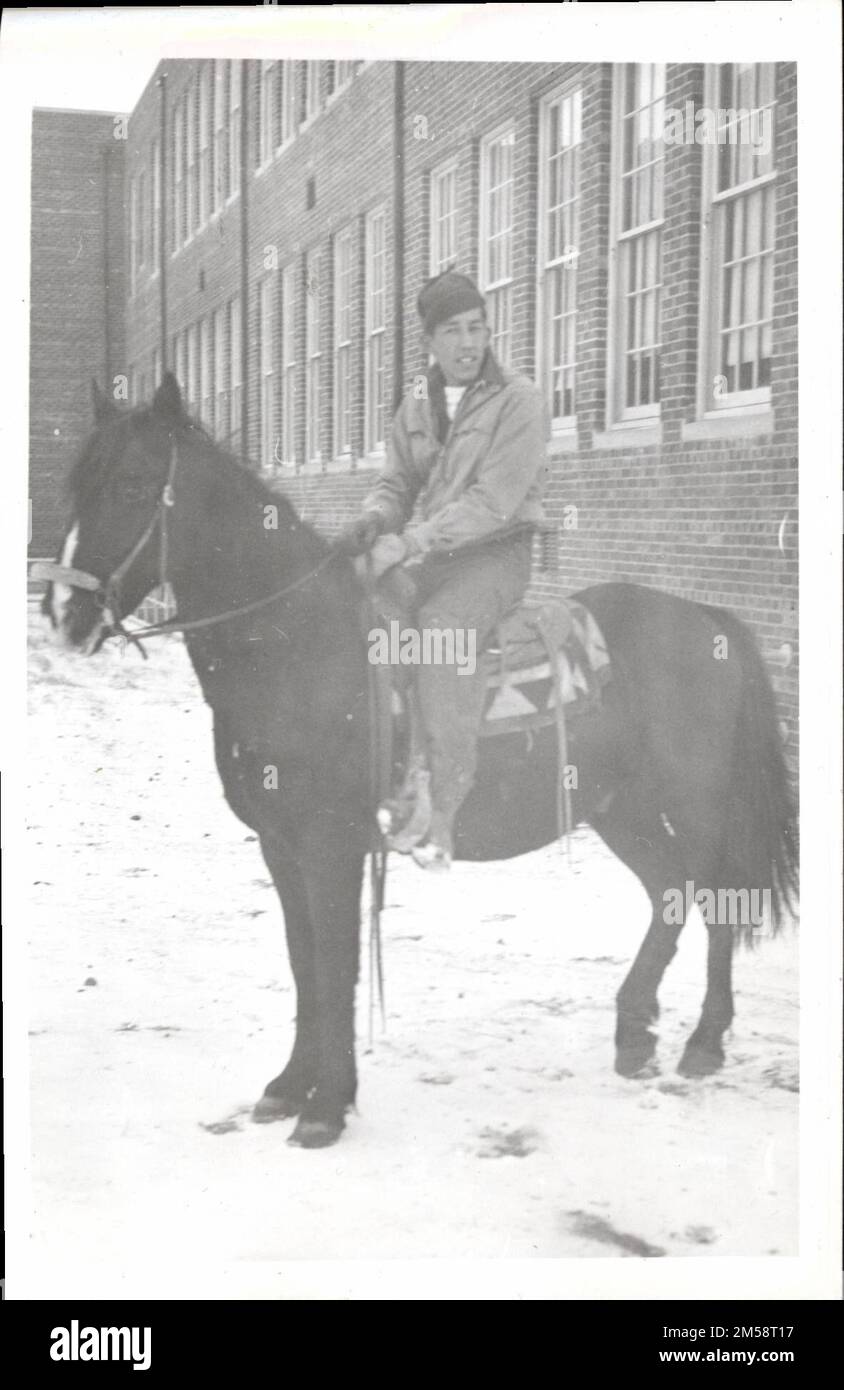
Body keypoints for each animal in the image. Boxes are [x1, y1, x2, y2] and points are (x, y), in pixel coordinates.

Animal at [41, 375, 800, 1145]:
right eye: (77, 484)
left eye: (134, 485)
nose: (64, 611)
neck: (300, 647)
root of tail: (709, 619)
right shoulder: (280, 847)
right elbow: (303, 963)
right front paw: (290, 1085)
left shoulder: (330, 846)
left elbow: (335, 966)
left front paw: (327, 1105)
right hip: (623, 810)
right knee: (669, 896)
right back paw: (635, 1035)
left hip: (693, 806)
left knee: (717, 904)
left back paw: (703, 1043)